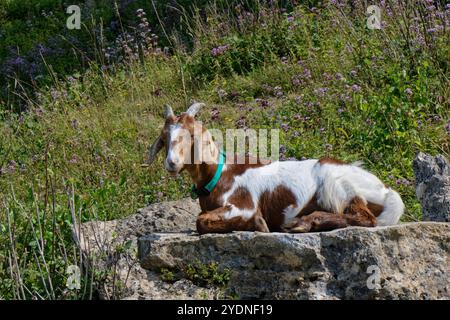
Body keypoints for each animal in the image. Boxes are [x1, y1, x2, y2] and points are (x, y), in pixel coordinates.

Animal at [147, 102, 404, 235]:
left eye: (191, 135)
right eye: (164, 137)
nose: (172, 163)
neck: (220, 174)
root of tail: (385, 190)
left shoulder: (243, 205)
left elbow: (200, 221)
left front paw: (259, 224)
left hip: (339, 184)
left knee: (365, 218)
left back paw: (305, 222)